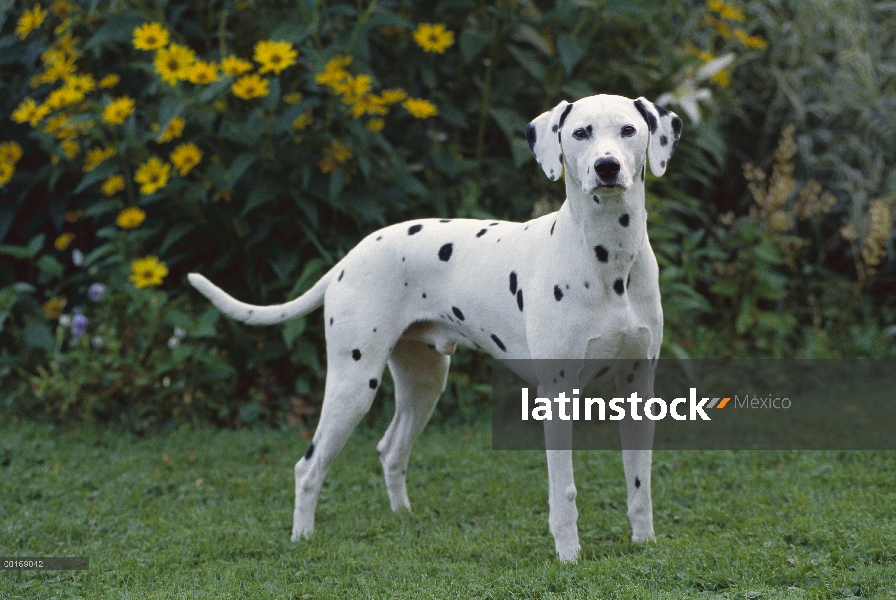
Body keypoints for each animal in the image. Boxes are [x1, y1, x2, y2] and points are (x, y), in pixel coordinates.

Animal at [187, 91, 680, 560]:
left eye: (628, 130)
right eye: (580, 133)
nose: (607, 166)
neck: (609, 260)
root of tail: (349, 258)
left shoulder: (638, 387)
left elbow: (639, 482)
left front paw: (644, 543)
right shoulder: (556, 394)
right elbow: (565, 492)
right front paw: (568, 555)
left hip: (423, 384)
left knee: (390, 450)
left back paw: (401, 518)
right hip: (353, 385)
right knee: (308, 467)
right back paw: (302, 537)